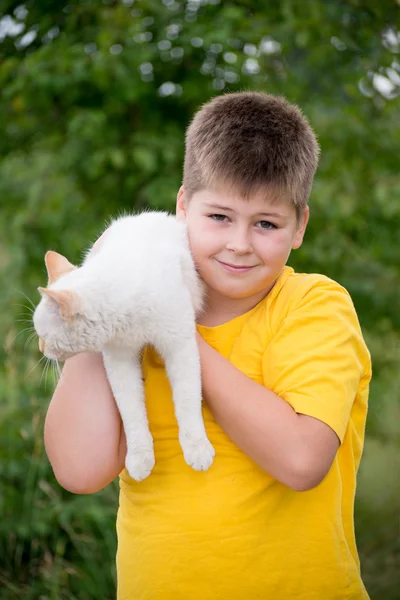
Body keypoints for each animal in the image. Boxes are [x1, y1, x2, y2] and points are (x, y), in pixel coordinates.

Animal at [34, 211, 216, 478]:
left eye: (43, 335)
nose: (41, 348)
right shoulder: (119, 362)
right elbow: (131, 411)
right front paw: (140, 458)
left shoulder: (179, 345)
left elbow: (187, 399)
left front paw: (197, 448)